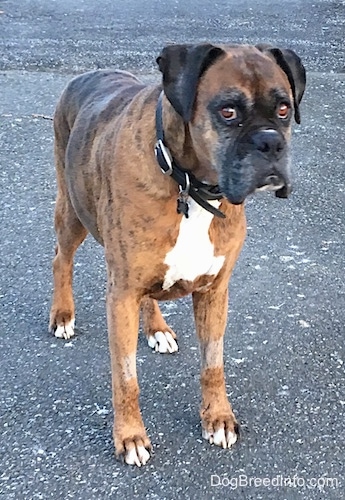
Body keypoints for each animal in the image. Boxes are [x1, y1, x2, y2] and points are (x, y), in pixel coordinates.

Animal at [49, 42, 306, 464]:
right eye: (228, 112)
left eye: (284, 109)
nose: (271, 142)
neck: (191, 185)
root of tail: (86, 74)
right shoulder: (120, 294)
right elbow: (126, 378)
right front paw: (130, 436)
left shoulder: (214, 292)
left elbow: (213, 365)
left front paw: (218, 418)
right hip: (72, 211)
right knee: (61, 259)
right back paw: (63, 315)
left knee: (148, 295)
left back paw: (156, 328)